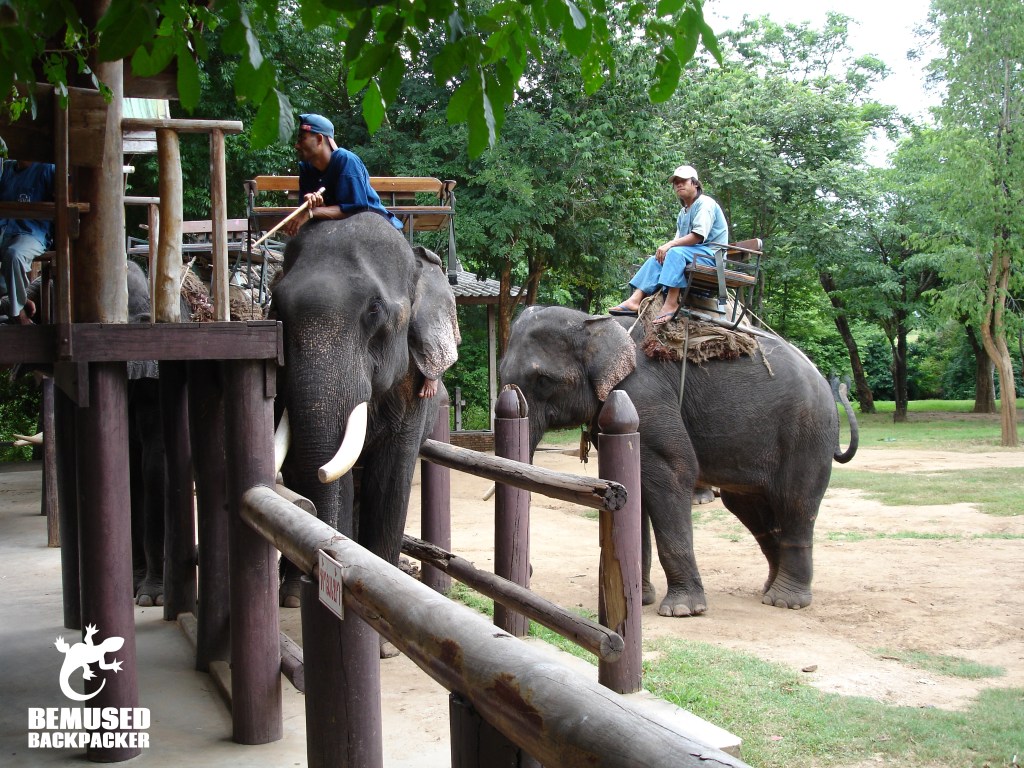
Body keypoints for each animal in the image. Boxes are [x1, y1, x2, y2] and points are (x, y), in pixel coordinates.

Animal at [271, 212, 460, 609]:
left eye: (374, 309)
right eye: (277, 309)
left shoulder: (413, 383)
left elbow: (390, 476)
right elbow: (309, 471)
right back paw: (291, 595)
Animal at [499, 305, 858, 617]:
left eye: (543, 380)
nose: (529, 572)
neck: (595, 323)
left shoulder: (644, 398)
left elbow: (674, 473)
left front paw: (682, 610)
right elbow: (631, 489)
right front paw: (641, 599)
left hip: (807, 434)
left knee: (795, 503)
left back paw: (785, 601)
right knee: (751, 509)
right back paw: (770, 589)